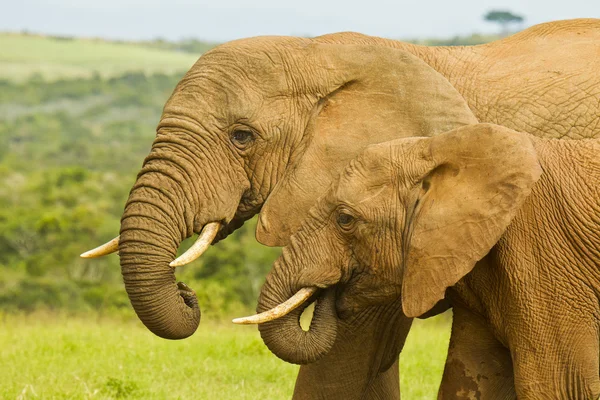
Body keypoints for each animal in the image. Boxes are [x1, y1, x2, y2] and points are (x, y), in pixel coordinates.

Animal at [238, 123, 600, 398]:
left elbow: (562, 385)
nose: (330, 287)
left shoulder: (547, 257)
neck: (440, 149)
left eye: (344, 219)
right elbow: (472, 379)